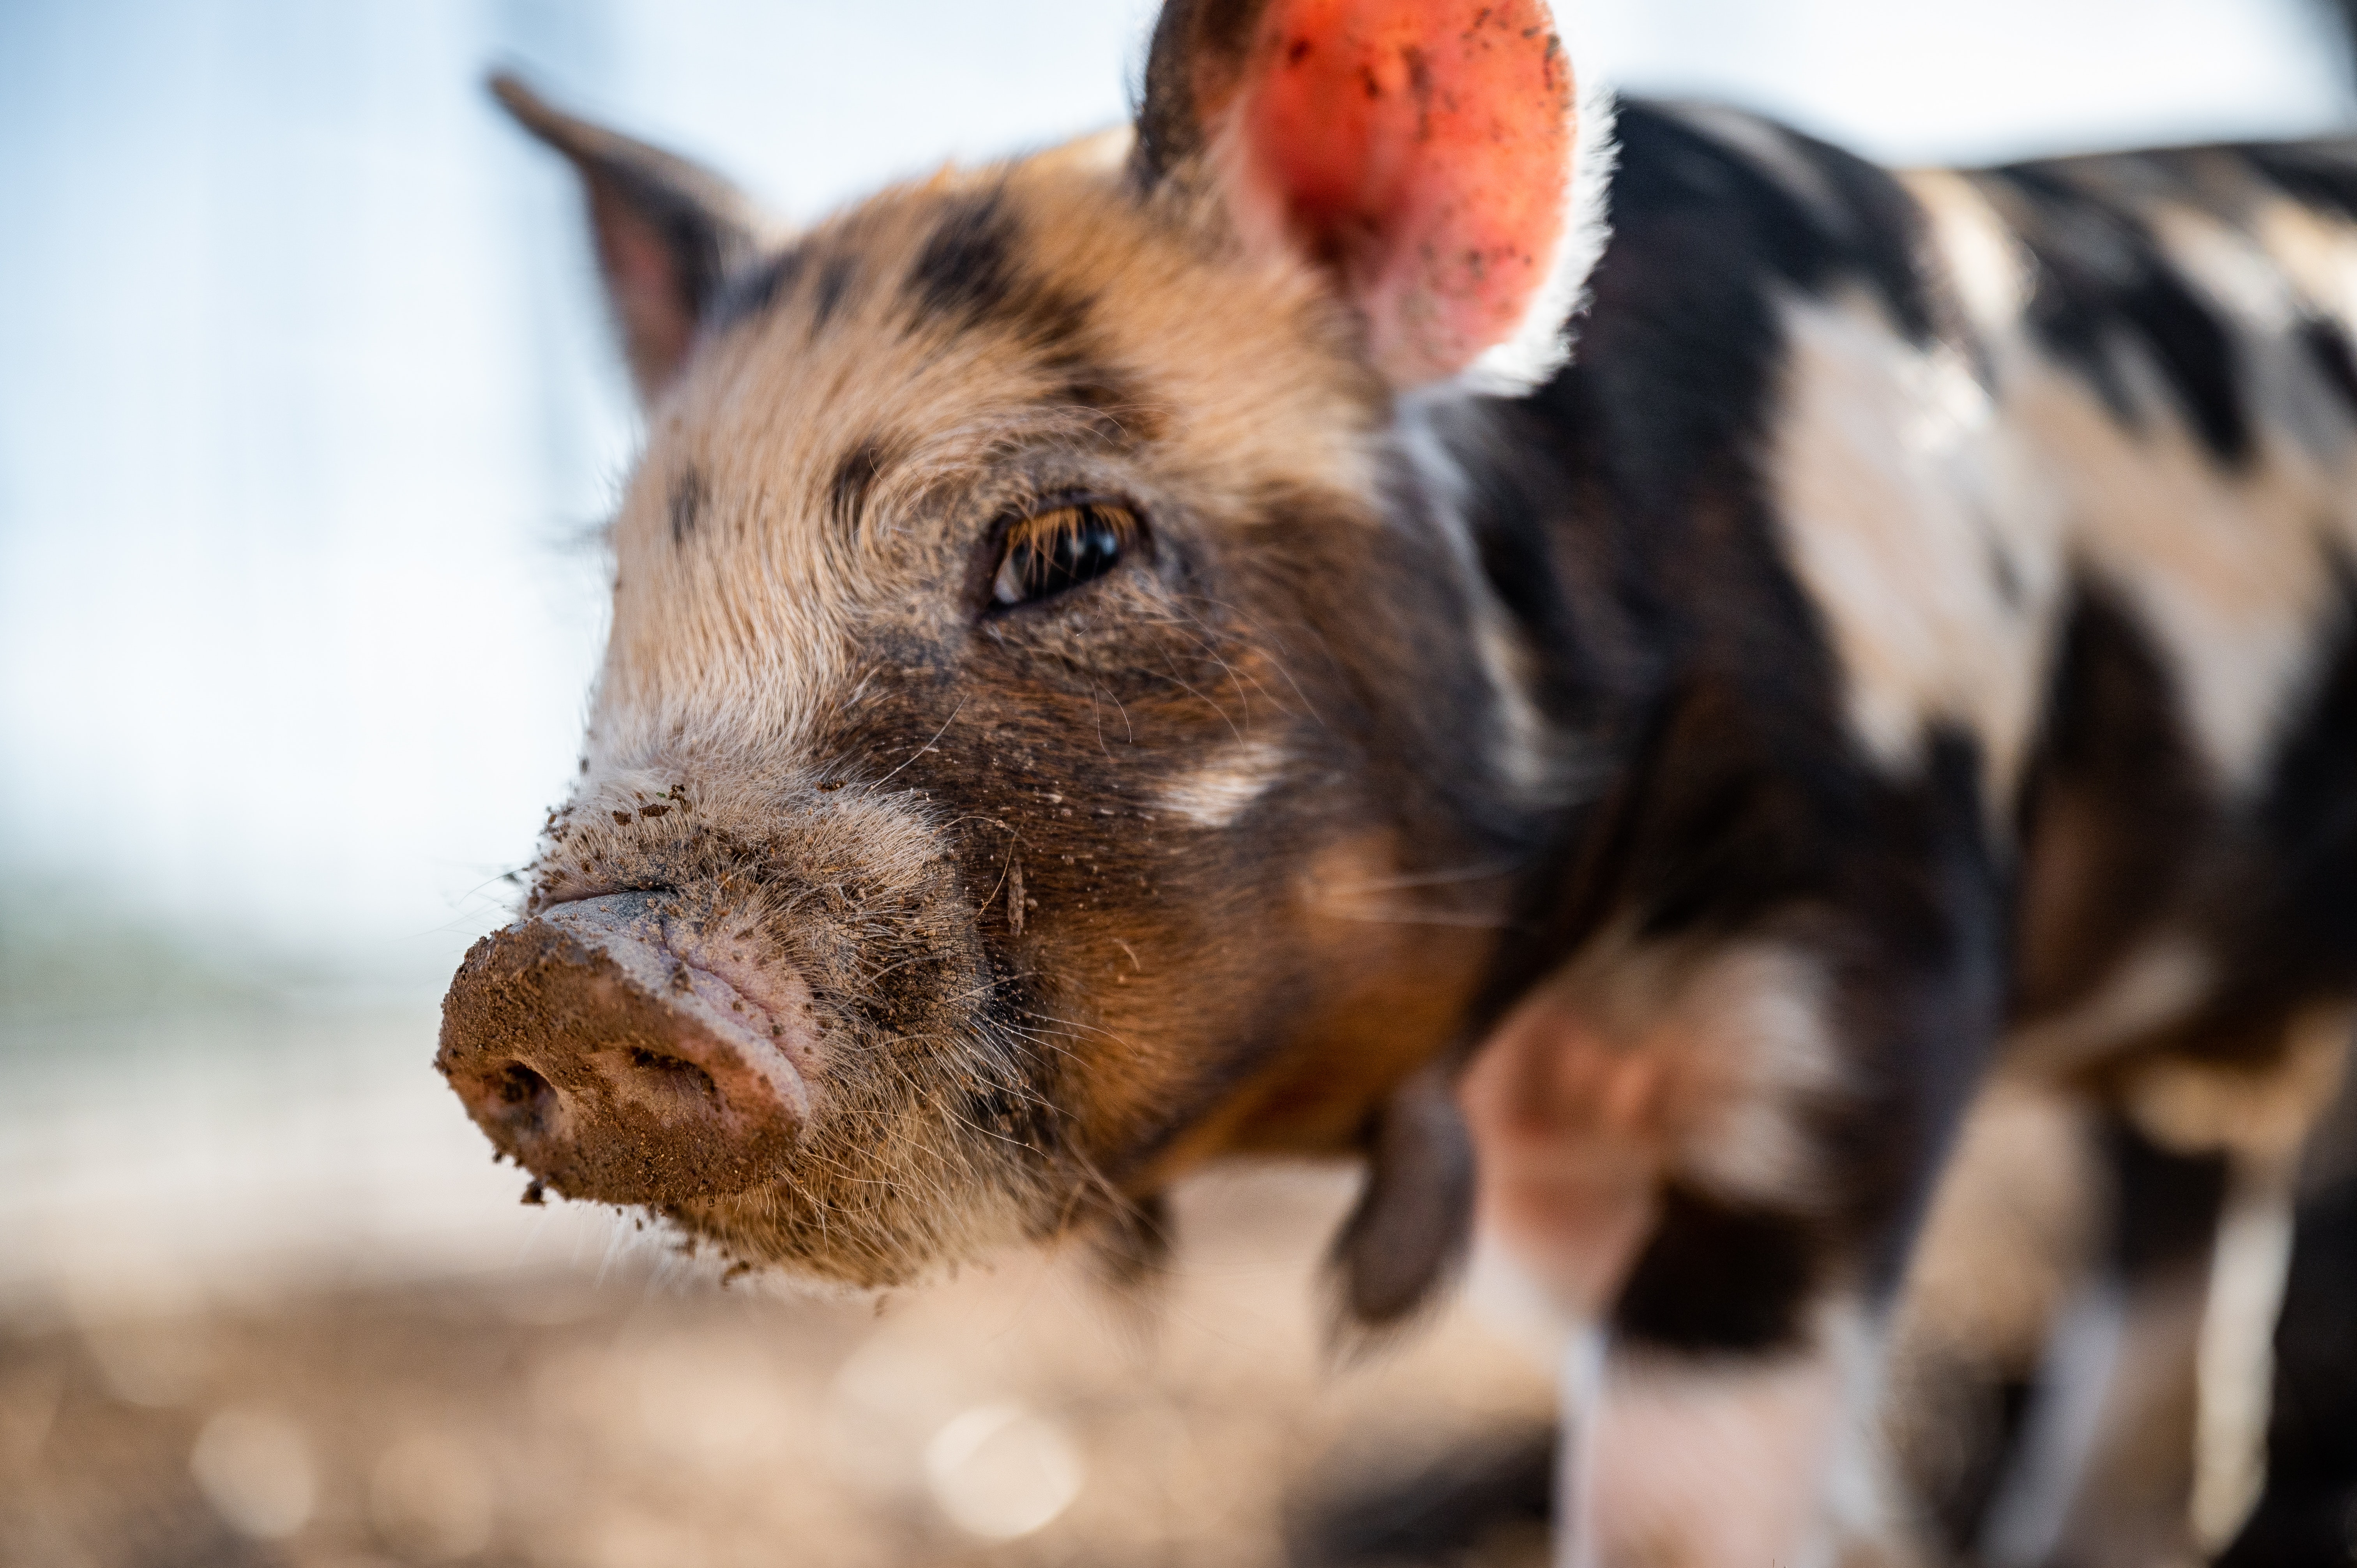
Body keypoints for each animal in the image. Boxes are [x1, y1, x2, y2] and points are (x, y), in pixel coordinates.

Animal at [438, 6, 2357, 1556]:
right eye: (624, 593)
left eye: (1066, 543)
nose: (550, 972)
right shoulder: (1543, 1151)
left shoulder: (1865, 957)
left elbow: (1674, 1481)